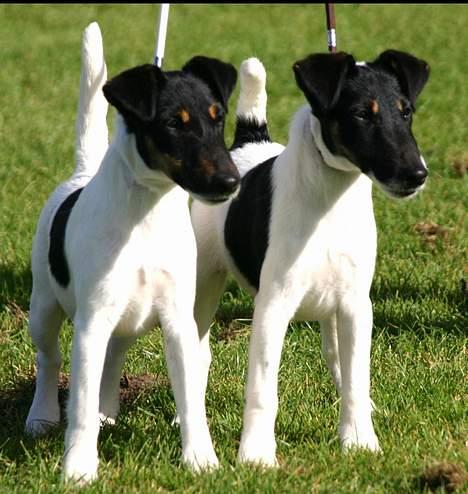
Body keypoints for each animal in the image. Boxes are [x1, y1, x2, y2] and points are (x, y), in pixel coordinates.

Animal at [190, 48, 428, 466]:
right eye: (361, 114)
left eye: (406, 112)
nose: (417, 174)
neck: (330, 199)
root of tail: (247, 143)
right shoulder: (273, 306)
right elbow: (262, 389)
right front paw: (256, 456)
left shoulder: (355, 305)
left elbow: (355, 377)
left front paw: (360, 442)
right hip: (202, 283)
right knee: (196, 353)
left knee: (336, 356)